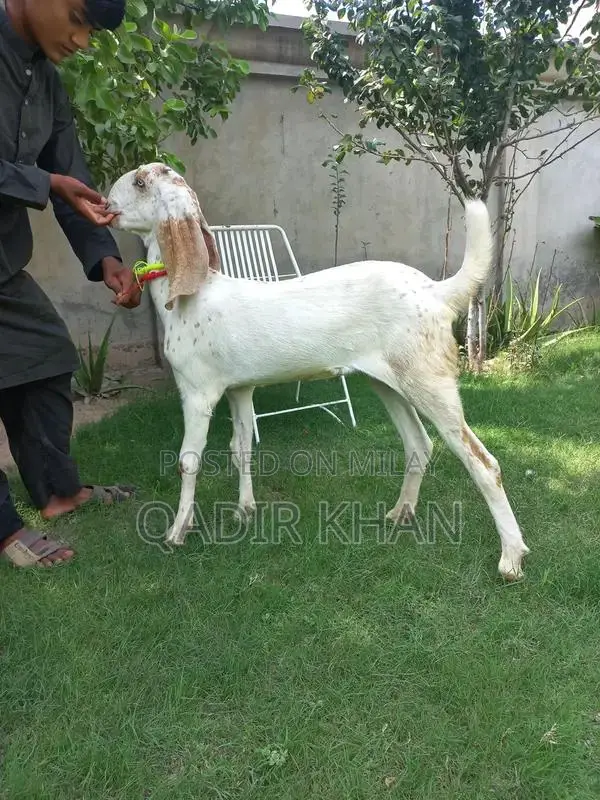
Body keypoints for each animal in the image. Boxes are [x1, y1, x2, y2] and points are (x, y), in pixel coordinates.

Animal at [106, 162, 530, 581]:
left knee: (484, 463)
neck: (194, 297)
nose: (105, 202)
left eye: (140, 182)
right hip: (390, 383)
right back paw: (400, 513)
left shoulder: (197, 391)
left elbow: (188, 460)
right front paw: (245, 510)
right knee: (419, 445)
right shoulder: (239, 389)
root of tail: (436, 292)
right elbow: (240, 448)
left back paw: (511, 557)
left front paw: (178, 531)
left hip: (429, 381)